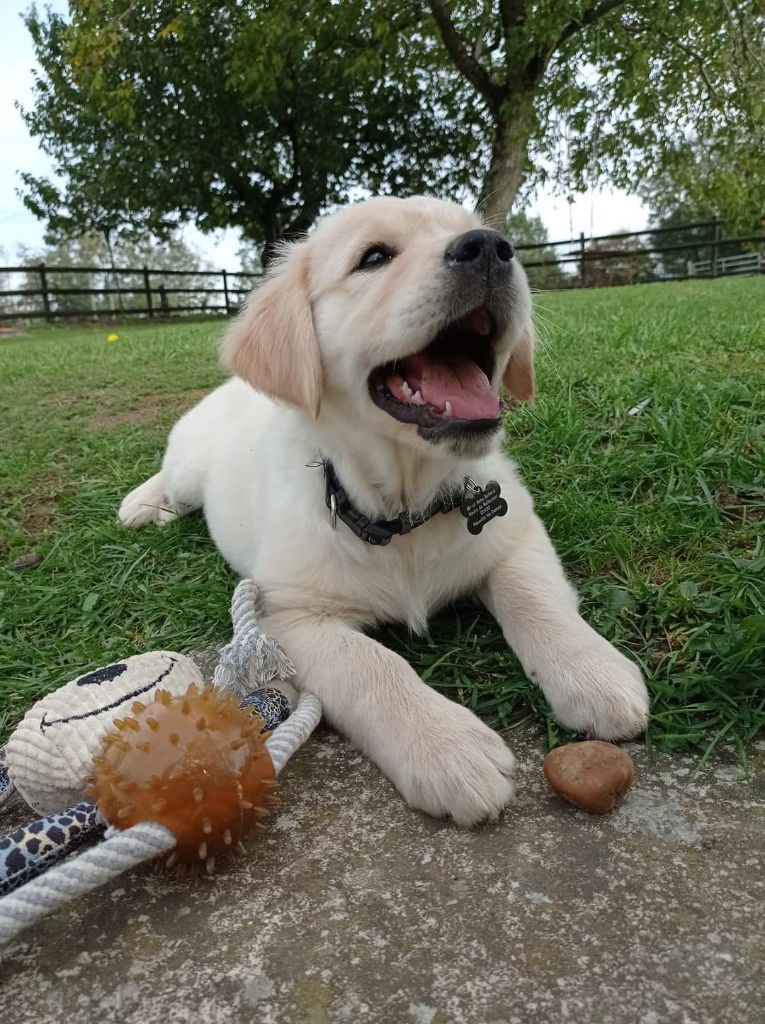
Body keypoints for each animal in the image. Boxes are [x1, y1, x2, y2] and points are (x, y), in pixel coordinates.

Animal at [121, 195, 651, 827]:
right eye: (373, 258)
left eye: (485, 235)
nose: (490, 249)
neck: (405, 507)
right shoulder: (288, 614)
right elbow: (370, 664)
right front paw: (449, 747)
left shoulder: (517, 532)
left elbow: (537, 599)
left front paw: (594, 673)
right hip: (188, 467)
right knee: (171, 480)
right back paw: (142, 504)